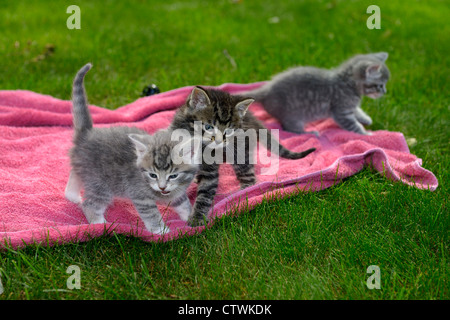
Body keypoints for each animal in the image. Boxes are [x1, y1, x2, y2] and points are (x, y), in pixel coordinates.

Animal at [65, 63, 199, 235]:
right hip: (100, 183)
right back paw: (99, 224)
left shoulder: (177, 192)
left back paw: (71, 195)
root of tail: (87, 134)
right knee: (90, 204)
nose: (162, 187)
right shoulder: (140, 196)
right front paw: (161, 231)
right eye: (153, 175)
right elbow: (151, 214)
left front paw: (192, 218)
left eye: (173, 175)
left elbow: (183, 203)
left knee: (75, 173)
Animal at [170, 86, 316, 226]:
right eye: (208, 127)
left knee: (248, 176)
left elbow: (205, 191)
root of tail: (249, 117)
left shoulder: (210, 170)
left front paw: (197, 217)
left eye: (228, 131)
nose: (219, 141)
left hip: (240, 151)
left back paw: (245, 193)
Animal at [246, 51, 390, 135]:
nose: (385, 91)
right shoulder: (341, 111)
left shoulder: (350, 106)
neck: (347, 84)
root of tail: (267, 89)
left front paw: (366, 119)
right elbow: (353, 125)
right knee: (289, 128)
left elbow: (358, 111)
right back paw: (309, 133)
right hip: (293, 116)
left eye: (383, 85)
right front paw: (366, 134)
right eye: (380, 85)